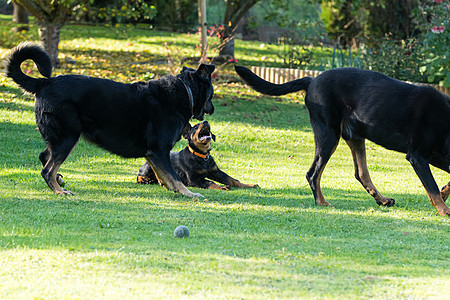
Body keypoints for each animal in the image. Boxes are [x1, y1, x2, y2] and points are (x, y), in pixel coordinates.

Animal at [4, 41, 216, 197]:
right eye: (211, 94)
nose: (212, 110)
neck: (185, 91)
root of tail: (44, 82)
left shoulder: (153, 154)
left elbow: (164, 176)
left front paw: (172, 190)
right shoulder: (159, 150)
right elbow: (175, 178)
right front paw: (189, 194)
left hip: (59, 137)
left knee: (44, 157)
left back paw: (59, 181)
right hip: (68, 136)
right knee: (47, 169)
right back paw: (59, 190)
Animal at [236, 65, 450, 216]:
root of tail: (312, 80)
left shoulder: (436, 157)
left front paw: (445, 192)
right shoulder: (418, 157)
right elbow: (432, 187)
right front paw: (444, 209)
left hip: (355, 137)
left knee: (361, 173)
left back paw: (381, 199)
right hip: (328, 135)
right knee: (313, 173)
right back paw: (322, 202)